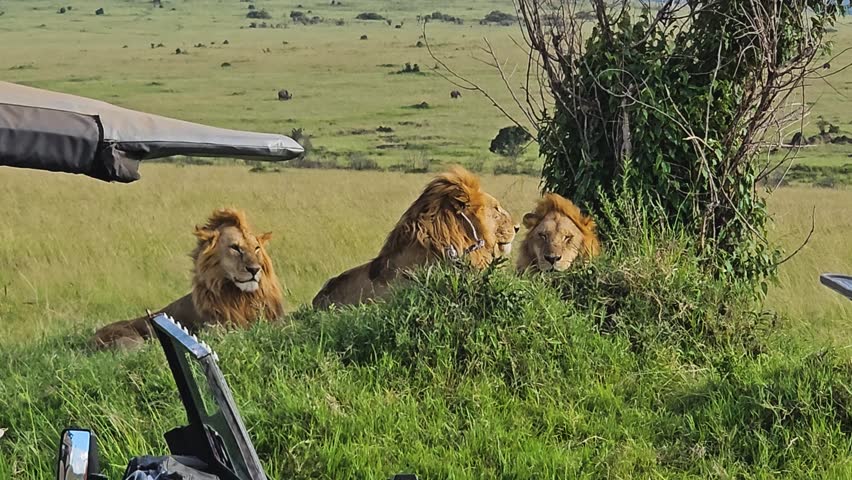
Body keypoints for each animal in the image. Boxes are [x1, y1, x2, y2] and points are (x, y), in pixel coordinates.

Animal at [91, 208, 284, 349]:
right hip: (131, 339)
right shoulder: (213, 326)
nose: (254, 269)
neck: (240, 297)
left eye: (256, 248)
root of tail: (90, 340)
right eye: (235, 248)